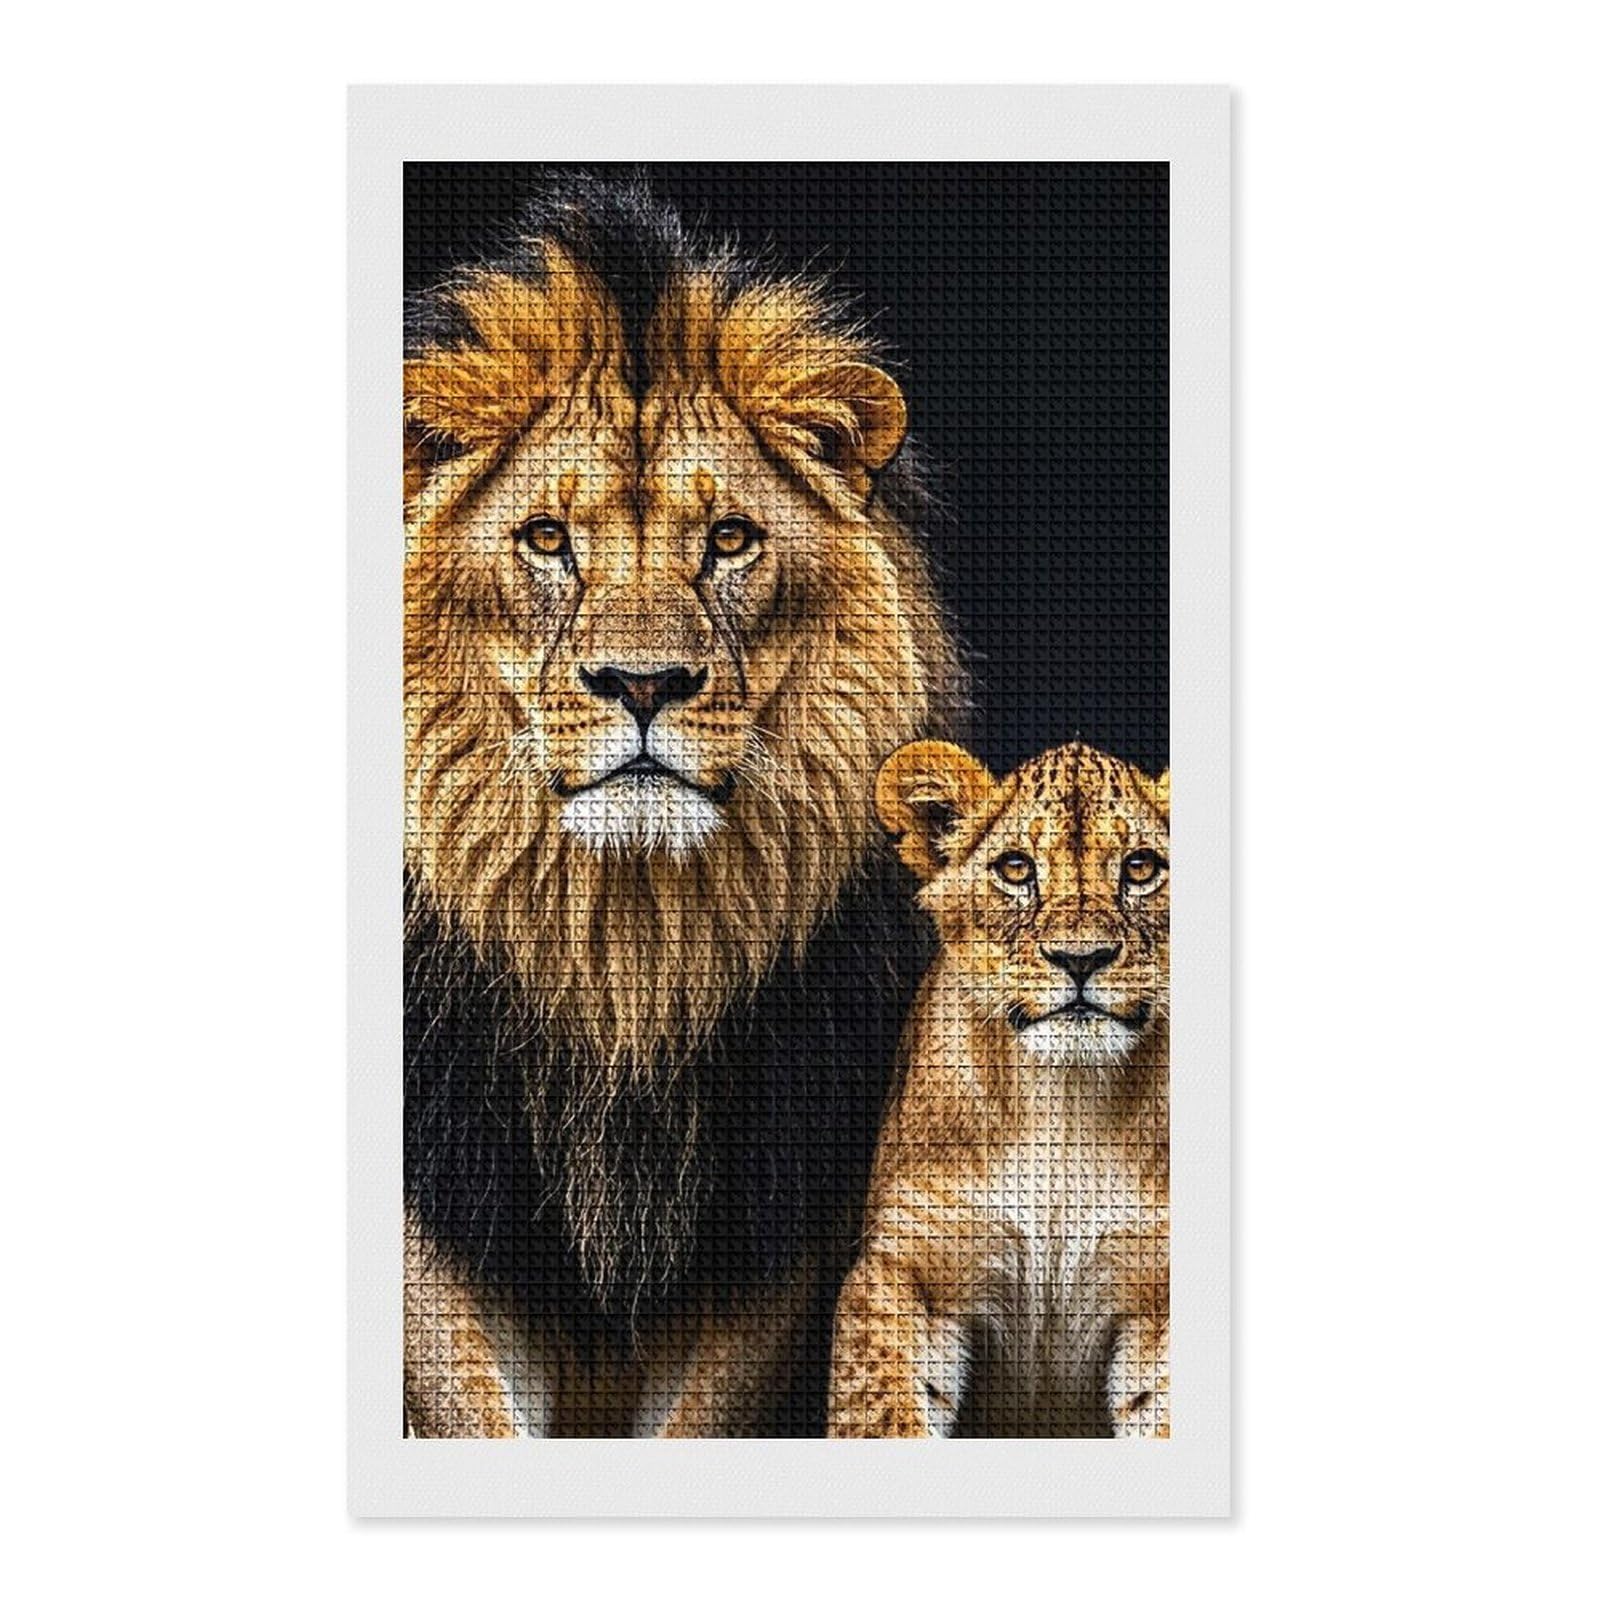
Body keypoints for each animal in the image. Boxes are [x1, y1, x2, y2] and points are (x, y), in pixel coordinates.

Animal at [402, 177, 961, 1436]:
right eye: (547, 539)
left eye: (730, 539)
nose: (644, 683)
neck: (630, 957)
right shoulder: (436, 1220)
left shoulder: (775, 1237)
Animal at [827, 739, 1169, 1438]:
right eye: (1015, 868)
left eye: (1142, 867)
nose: (1080, 958)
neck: (1065, 1109)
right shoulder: (908, 1268)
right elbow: (881, 1415)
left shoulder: (1159, 1288)